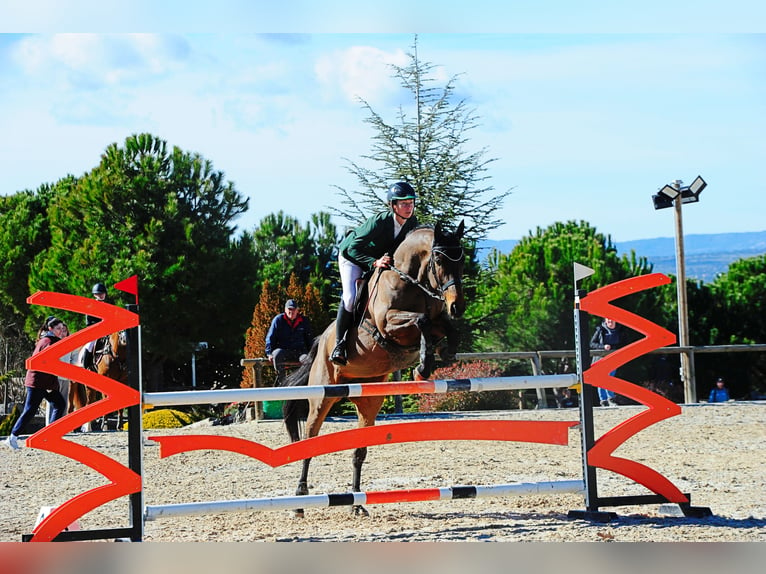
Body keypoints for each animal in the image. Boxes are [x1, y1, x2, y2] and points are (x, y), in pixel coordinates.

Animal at [280, 220, 464, 516]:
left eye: (462, 259)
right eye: (438, 259)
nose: (457, 306)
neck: (412, 281)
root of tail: (321, 342)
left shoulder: (436, 320)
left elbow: (445, 327)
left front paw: (440, 355)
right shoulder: (388, 324)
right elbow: (421, 320)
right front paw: (423, 365)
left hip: (369, 399)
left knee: (359, 451)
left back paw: (357, 503)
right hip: (323, 395)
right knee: (310, 436)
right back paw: (299, 500)